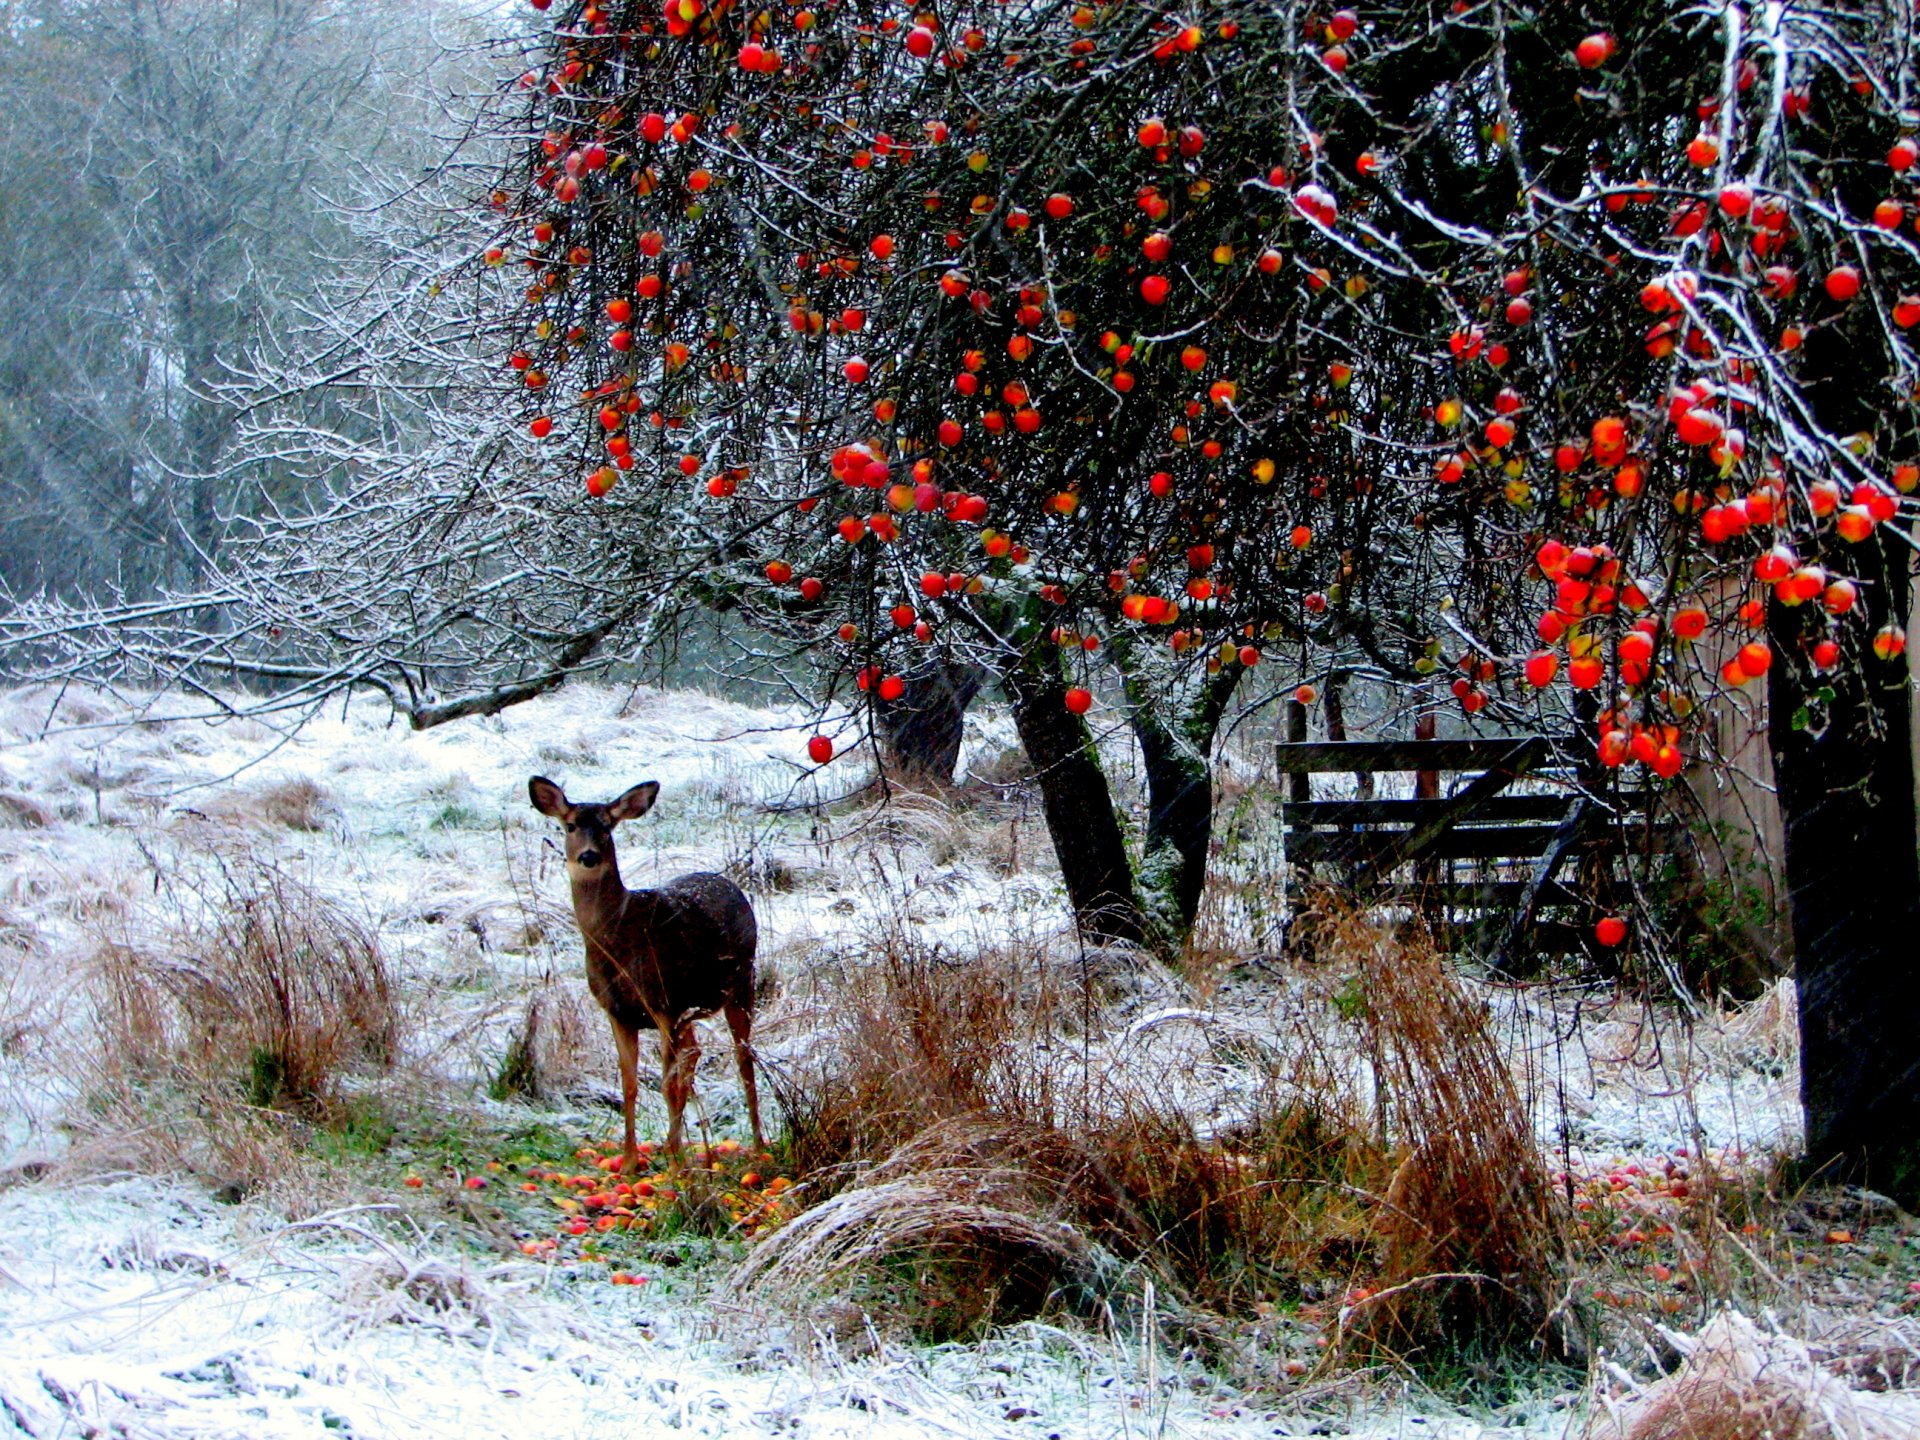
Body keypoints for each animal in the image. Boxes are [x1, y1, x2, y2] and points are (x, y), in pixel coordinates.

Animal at [528, 776, 765, 1171]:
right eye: (570, 825)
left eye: (607, 826)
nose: (588, 856)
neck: (617, 941)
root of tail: (730, 884)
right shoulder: (619, 1012)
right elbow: (630, 1085)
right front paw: (629, 1161)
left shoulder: (661, 1001)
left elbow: (667, 1084)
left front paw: (675, 1167)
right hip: (689, 1008)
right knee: (694, 1052)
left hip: (741, 982)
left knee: (743, 1060)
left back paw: (758, 1146)